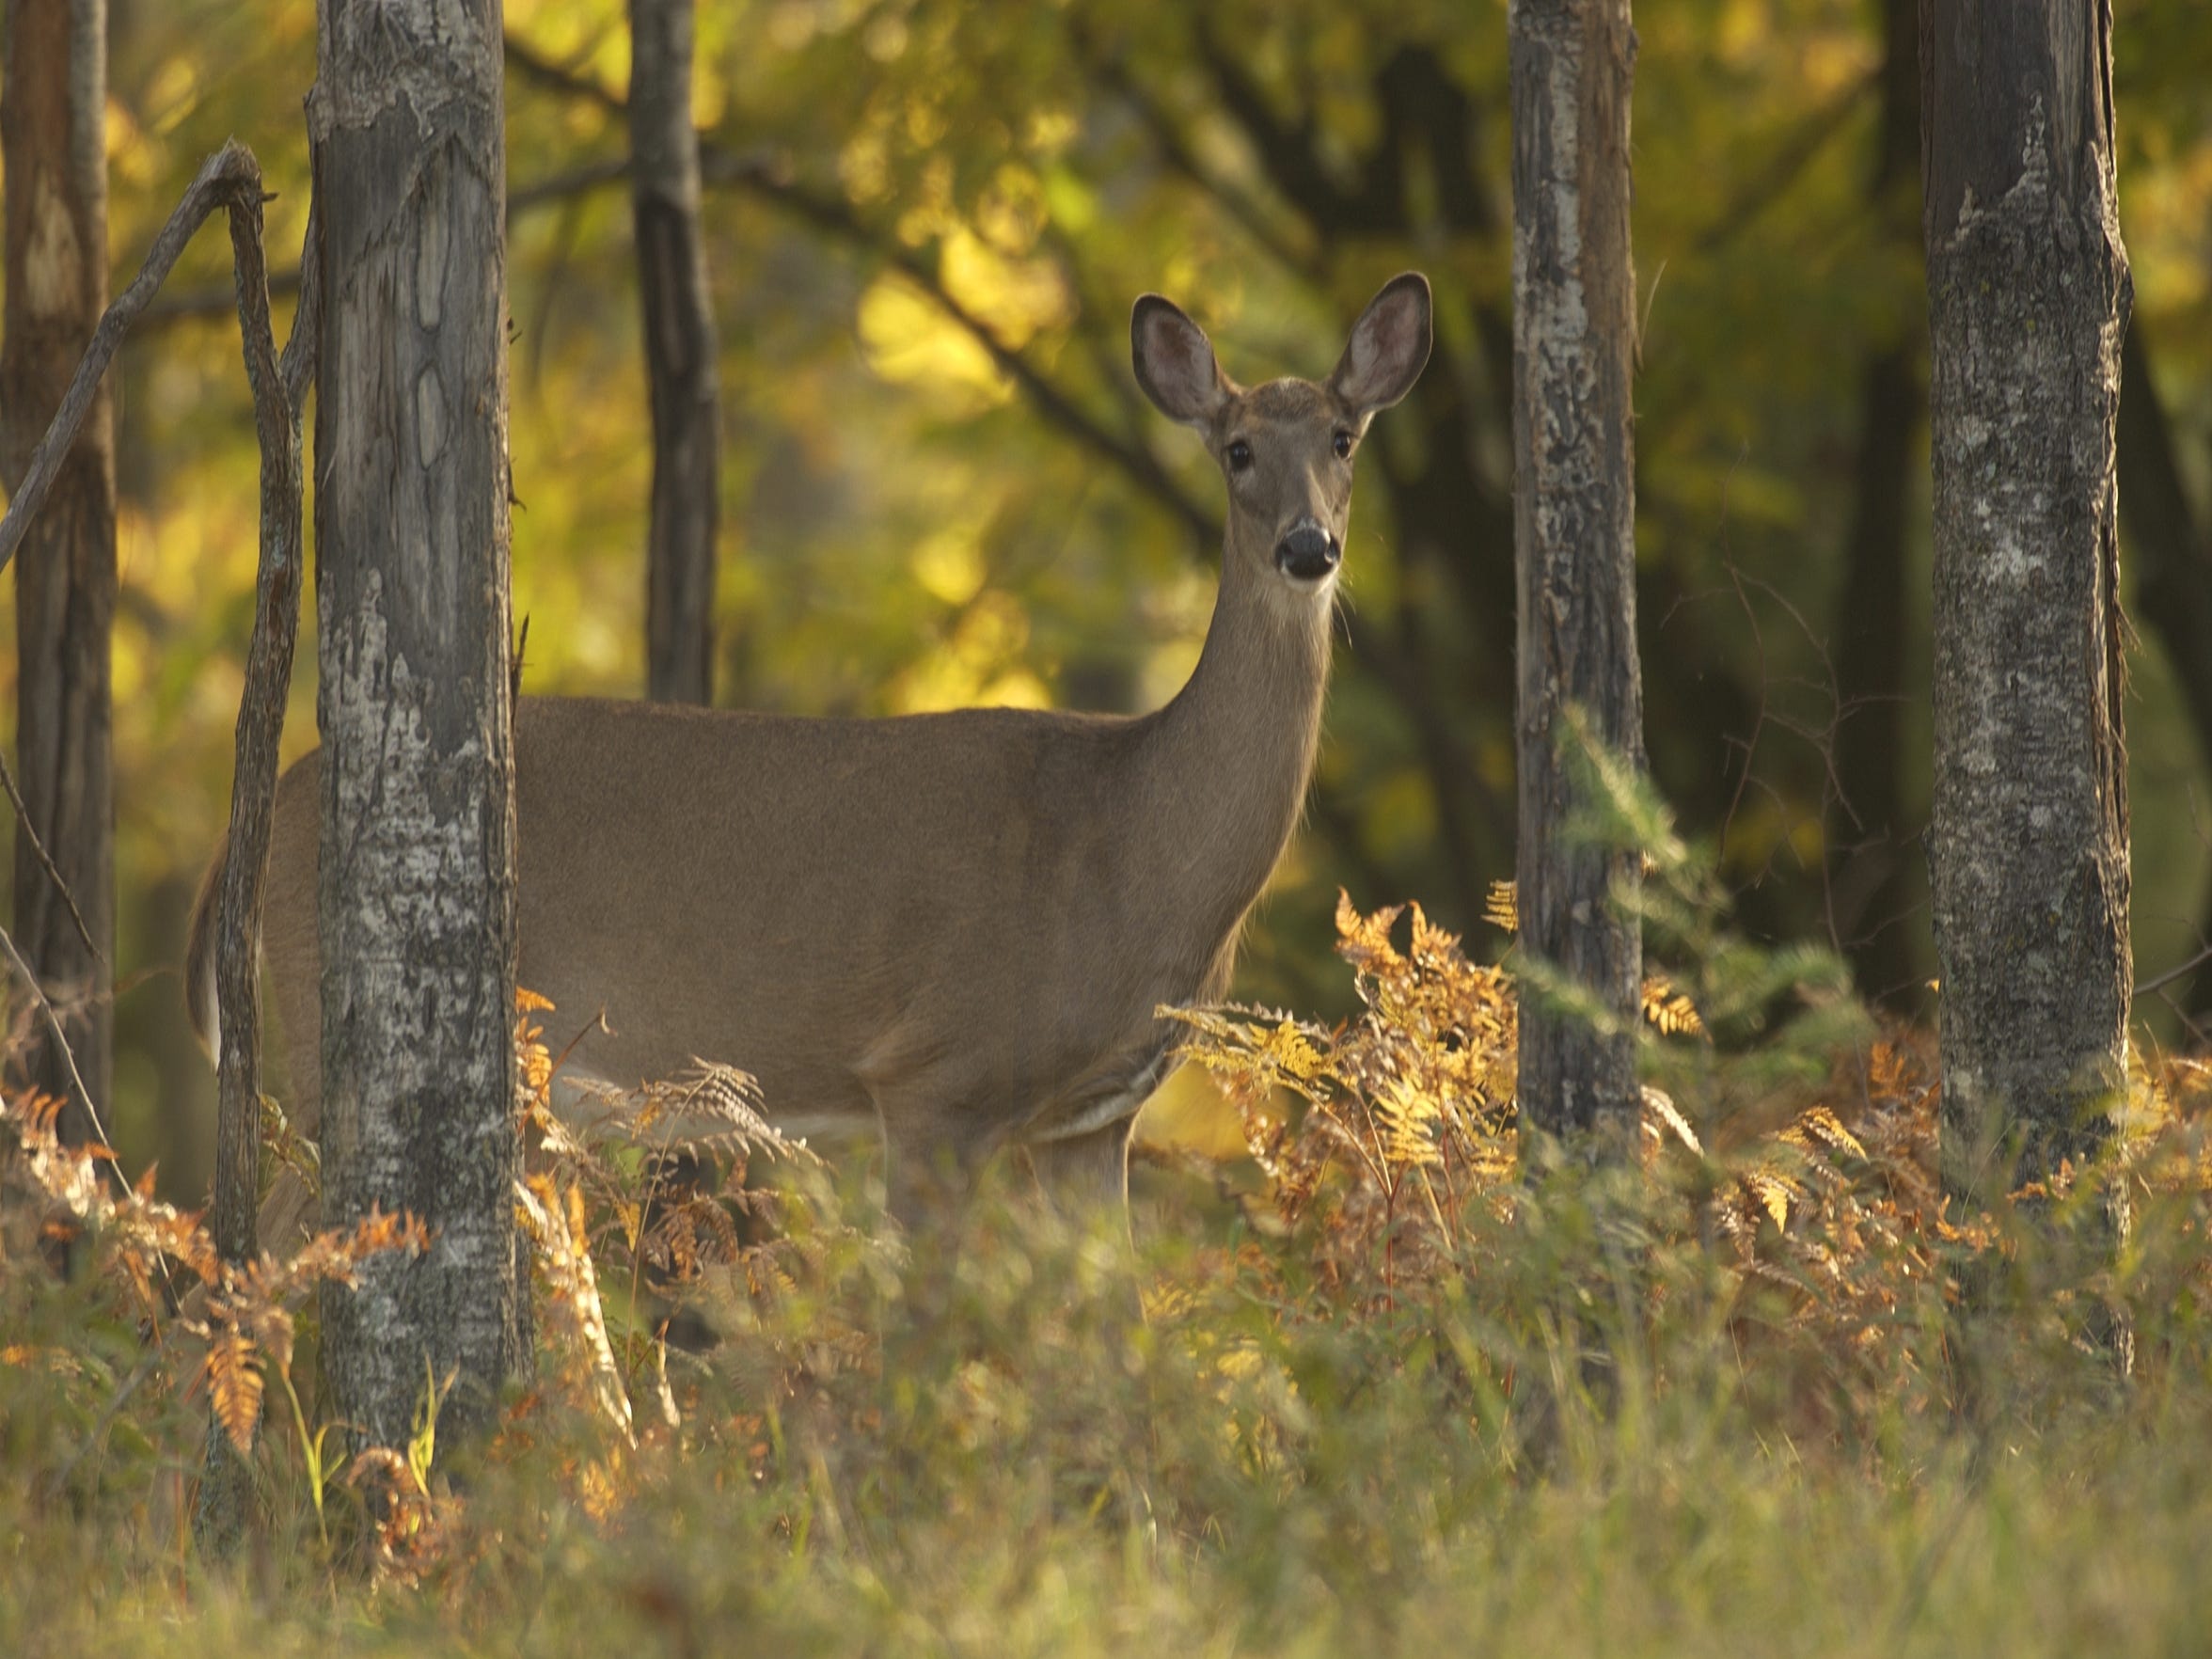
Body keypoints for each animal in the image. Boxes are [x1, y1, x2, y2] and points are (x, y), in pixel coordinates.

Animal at [186, 272, 1433, 1251]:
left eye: (1343, 439)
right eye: (1237, 450)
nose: (1309, 547)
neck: (1135, 841)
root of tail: (263, 815)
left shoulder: (1093, 1123)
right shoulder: (935, 1074)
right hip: (329, 1038)